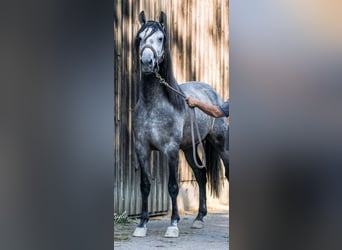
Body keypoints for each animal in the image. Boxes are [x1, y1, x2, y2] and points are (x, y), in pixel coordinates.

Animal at [132, 11, 228, 238]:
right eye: (140, 38)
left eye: (160, 38)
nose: (147, 62)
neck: (153, 105)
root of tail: (212, 92)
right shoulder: (142, 148)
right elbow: (145, 185)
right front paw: (142, 224)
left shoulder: (171, 150)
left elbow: (173, 186)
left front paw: (173, 224)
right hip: (188, 149)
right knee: (201, 175)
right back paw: (199, 219)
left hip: (220, 143)